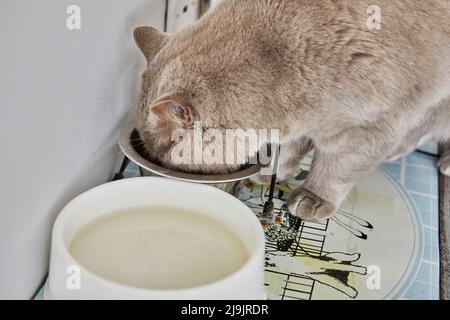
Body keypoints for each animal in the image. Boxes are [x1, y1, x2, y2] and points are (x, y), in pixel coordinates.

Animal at [134, 0, 450, 220]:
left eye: (162, 155)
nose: (157, 163)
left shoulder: (369, 126)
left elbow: (335, 169)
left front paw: (312, 198)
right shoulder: (301, 119)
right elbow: (291, 148)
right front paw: (274, 171)